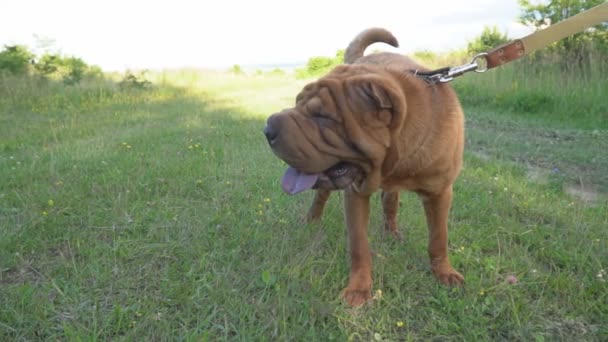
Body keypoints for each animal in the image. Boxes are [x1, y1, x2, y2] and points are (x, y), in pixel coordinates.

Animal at [262, 28, 466, 306]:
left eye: (323, 117)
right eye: (297, 102)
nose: (267, 128)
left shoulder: (440, 193)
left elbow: (439, 238)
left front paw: (444, 272)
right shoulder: (356, 193)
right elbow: (359, 245)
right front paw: (359, 290)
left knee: (390, 204)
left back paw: (392, 233)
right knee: (320, 197)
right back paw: (311, 219)